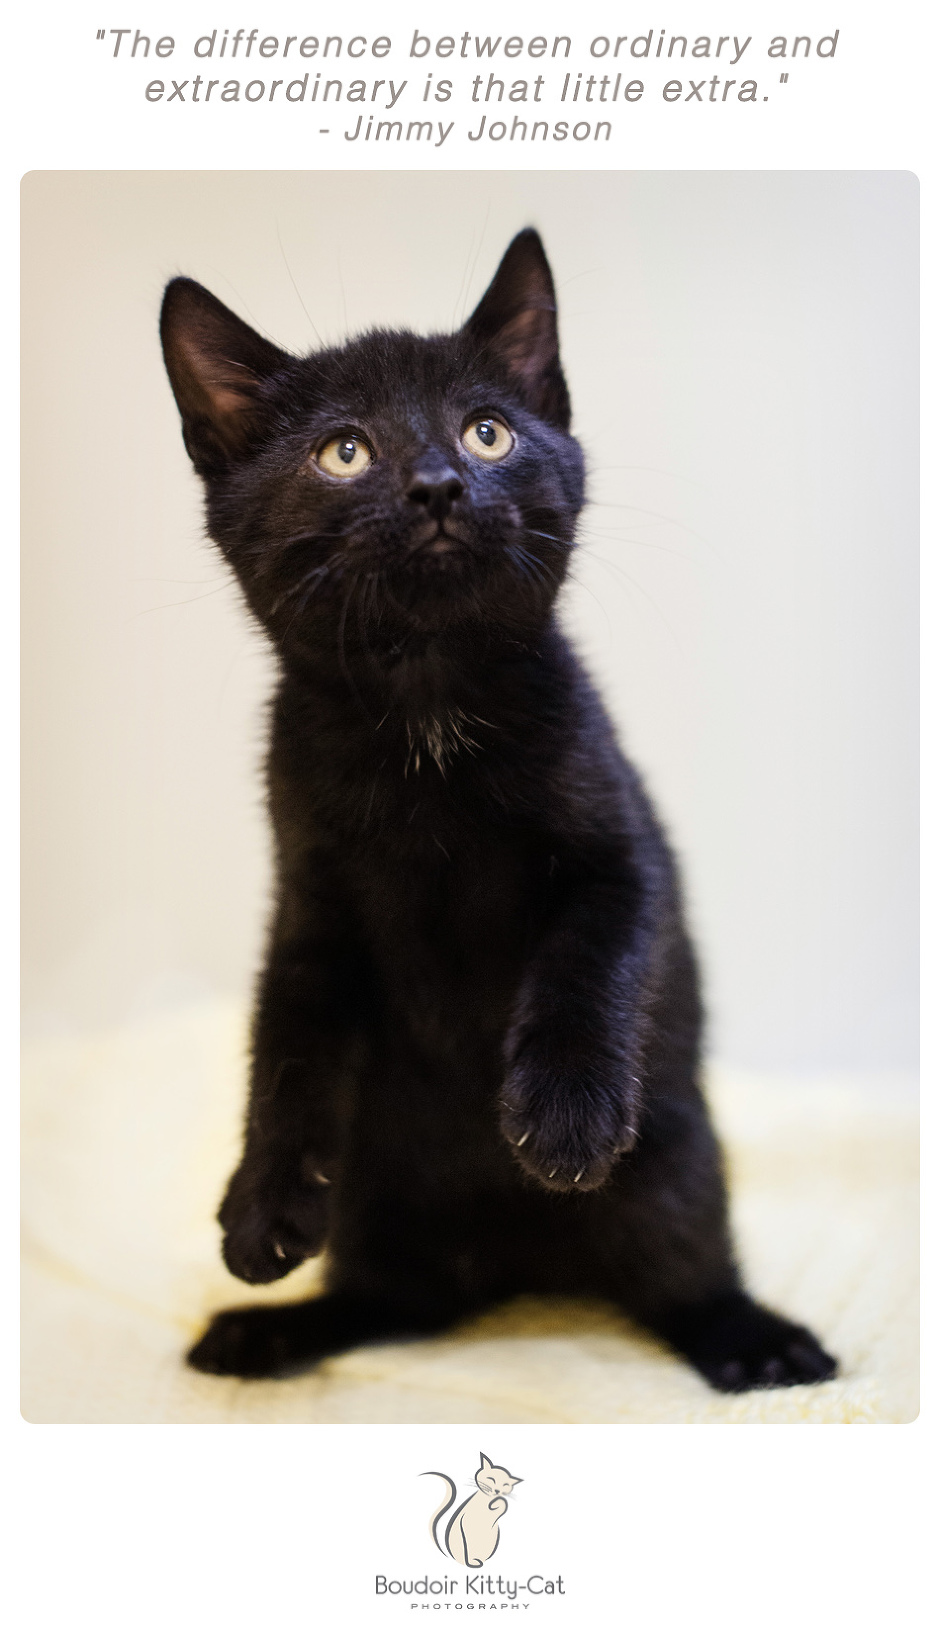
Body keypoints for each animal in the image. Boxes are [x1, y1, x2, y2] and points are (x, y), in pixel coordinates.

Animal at [161, 229, 834, 1394]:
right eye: (343, 451)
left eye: (489, 431)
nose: (437, 484)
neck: (430, 715)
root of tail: (523, 1268)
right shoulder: (309, 908)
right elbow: (284, 1051)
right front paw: (261, 1211)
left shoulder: (620, 849)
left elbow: (586, 960)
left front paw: (563, 1117)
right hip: (380, 1198)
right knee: (393, 1301)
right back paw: (271, 1332)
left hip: (677, 1163)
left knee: (682, 1280)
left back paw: (757, 1341)